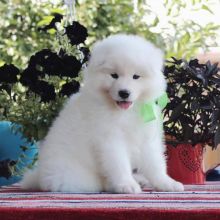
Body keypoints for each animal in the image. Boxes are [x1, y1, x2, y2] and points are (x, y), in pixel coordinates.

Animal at [21, 34, 184, 192]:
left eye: (136, 76)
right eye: (114, 75)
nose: (124, 93)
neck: (126, 112)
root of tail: (40, 176)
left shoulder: (147, 137)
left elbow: (155, 163)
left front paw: (167, 183)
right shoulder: (110, 139)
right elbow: (119, 164)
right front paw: (126, 184)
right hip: (79, 176)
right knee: (100, 182)